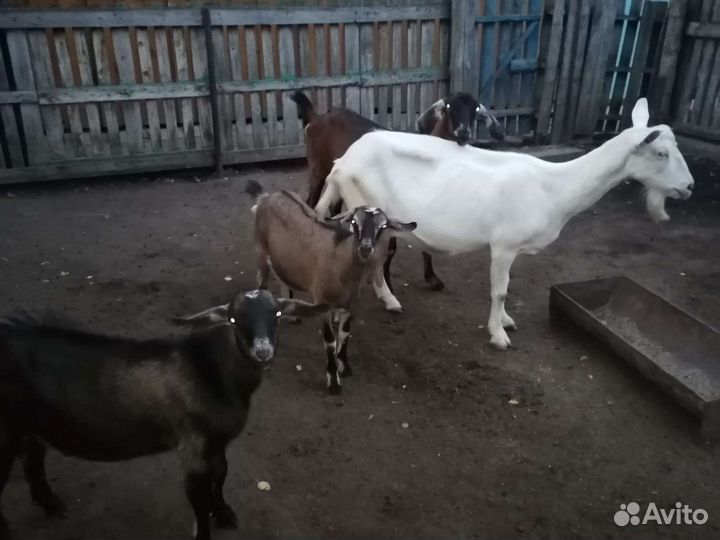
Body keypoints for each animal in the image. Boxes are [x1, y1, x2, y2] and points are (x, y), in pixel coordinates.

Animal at [0, 290, 322, 540]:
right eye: (233, 319)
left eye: (277, 313)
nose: (262, 352)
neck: (213, 371)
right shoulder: (194, 447)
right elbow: (199, 498)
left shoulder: (215, 442)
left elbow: (221, 474)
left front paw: (224, 514)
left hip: (29, 427)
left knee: (33, 464)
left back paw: (52, 505)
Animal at [245, 180, 416, 394]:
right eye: (354, 223)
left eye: (383, 226)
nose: (365, 248)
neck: (341, 261)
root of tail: (266, 196)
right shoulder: (322, 303)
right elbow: (330, 341)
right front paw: (333, 381)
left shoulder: (350, 304)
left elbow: (345, 334)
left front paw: (345, 367)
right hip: (261, 251)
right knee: (261, 281)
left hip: (282, 259)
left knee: (284, 279)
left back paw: (292, 315)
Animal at [291, 91, 501, 293]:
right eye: (449, 106)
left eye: (475, 108)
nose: (463, 132)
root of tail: (318, 117)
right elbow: (390, 247)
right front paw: (388, 283)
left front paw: (432, 278)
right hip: (318, 167)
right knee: (311, 202)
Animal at [315, 98, 694, 350]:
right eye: (661, 153)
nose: (689, 187)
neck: (553, 187)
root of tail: (342, 162)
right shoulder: (504, 246)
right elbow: (500, 290)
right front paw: (498, 334)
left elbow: (506, 291)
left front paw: (507, 321)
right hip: (362, 206)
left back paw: (388, 300)